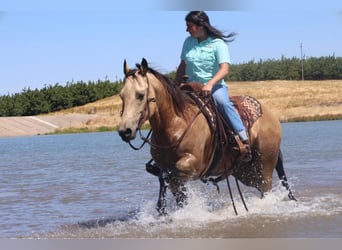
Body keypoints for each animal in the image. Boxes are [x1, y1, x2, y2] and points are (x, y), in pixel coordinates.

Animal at [116, 58, 296, 215]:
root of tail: (270, 115)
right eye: (122, 96)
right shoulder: (174, 176)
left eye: (140, 95)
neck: (176, 123)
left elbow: (166, 174)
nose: (125, 131)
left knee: (266, 189)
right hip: (246, 173)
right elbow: (173, 189)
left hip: (265, 167)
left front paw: (162, 208)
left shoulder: (193, 165)